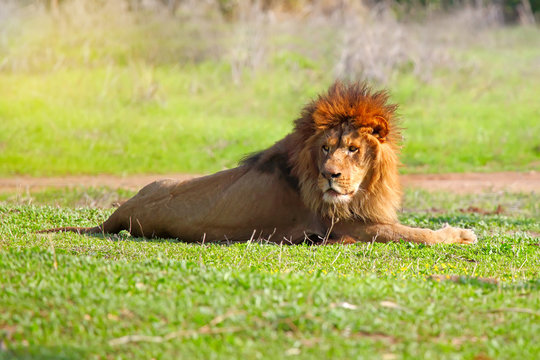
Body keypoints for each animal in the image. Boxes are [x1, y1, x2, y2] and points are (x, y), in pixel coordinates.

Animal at [42, 81, 476, 245]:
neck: (366, 185)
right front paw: (460, 233)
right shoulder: (348, 225)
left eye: (353, 149)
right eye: (325, 148)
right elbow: (417, 234)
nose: (330, 176)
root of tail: (115, 216)